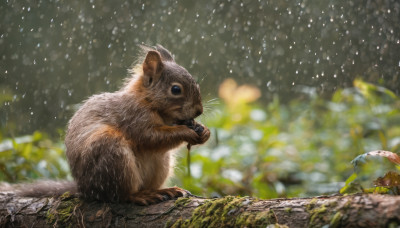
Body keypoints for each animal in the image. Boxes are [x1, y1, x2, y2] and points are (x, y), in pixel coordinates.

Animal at [12, 45, 212, 205]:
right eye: (176, 89)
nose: (199, 111)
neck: (148, 102)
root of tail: (85, 190)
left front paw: (204, 131)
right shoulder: (133, 117)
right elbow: (150, 138)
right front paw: (186, 131)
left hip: (161, 163)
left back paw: (164, 190)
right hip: (111, 153)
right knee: (121, 195)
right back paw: (141, 196)